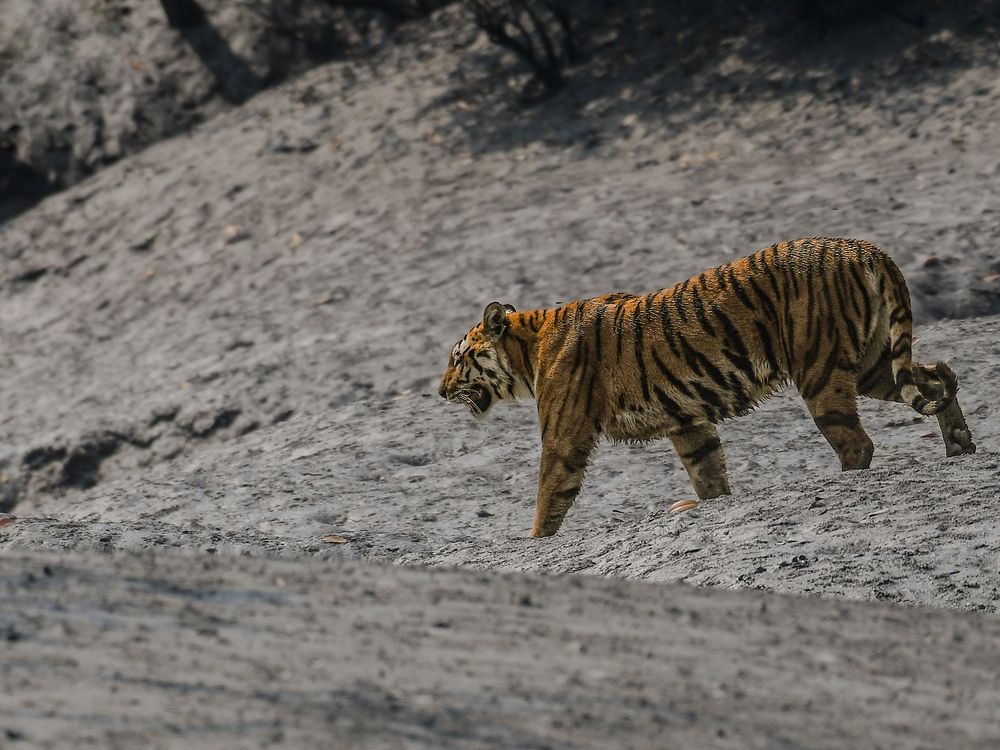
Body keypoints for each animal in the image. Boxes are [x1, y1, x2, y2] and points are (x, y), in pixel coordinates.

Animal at [438, 238, 977, 537]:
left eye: (457, 359)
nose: (440, 391)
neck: (528, 347)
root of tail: (863, 247)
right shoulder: (688, 422)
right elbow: (708, 473)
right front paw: (709, 503)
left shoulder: (564, 433)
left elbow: (551, 491)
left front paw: (532, 540)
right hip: (873, 364)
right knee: (941, 376)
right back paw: (960, 447)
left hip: (820, 370)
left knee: (857, 442)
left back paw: (849, 478)